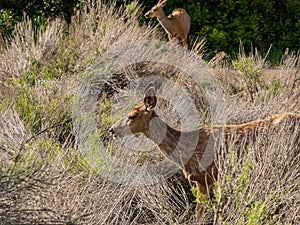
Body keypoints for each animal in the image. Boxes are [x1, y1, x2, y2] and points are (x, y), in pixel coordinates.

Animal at [110, 83, 300, 221]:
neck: (187, 149)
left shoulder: (209, 177)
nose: (112, 129)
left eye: (132, 116)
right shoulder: (202, 181)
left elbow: (207, 214)